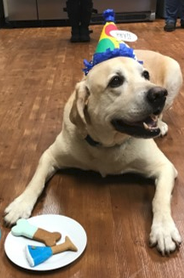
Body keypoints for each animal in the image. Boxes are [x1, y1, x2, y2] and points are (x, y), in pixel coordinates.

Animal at [4, 50, 183, 256]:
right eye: (115, 81)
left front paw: (163, 230)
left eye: (145, 75)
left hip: (174, 75)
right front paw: (20, 205)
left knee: (161, 114)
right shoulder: (49, 155)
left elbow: (160, 199)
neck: (106, 144)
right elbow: (36, 180)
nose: (159, 93)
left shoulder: (165, 167)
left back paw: (161, 123)